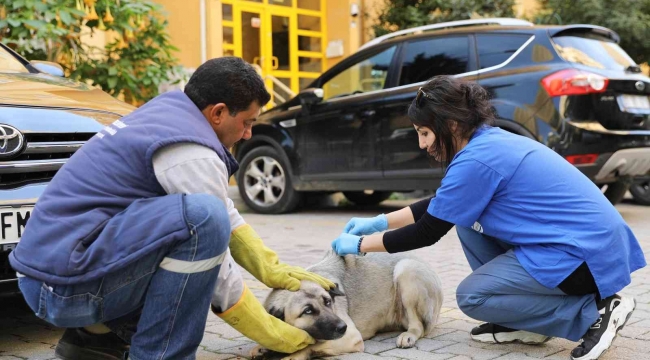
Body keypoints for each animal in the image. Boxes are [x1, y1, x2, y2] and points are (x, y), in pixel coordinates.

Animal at [256, 250, 442, 360]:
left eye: (328, 302)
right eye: (307, 311)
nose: (342, 327)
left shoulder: (350, 337)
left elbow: (313, 345)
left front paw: (294, 354)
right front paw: (261, 350)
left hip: (405, 270)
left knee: (419, 326)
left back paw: (408, 335)